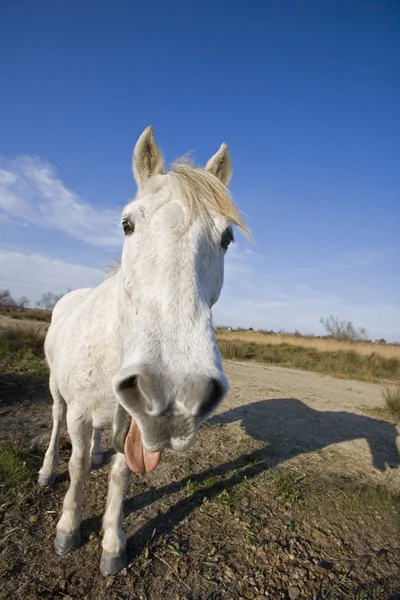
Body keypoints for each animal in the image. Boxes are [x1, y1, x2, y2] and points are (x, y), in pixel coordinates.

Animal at [39, 126, 247, 576]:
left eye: (227, 238)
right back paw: (46, 471)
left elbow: (121, 476)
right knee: (55, 423)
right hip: (56, 390)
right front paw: (68, 529)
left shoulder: (135, 421)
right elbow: (77, 467)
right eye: (127, 224)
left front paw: (112, 544)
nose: (175, 393)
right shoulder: (79, 414)